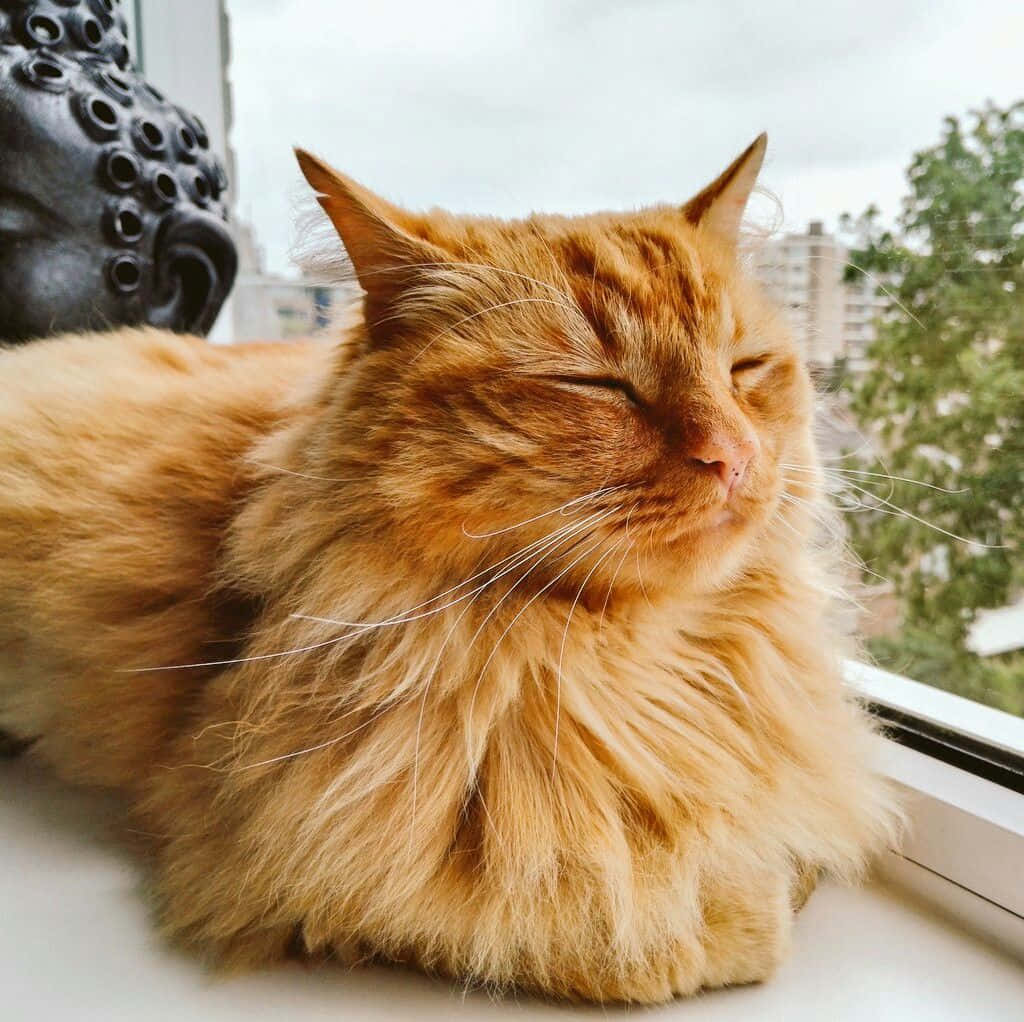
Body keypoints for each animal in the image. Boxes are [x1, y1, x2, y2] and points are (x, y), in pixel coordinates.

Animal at [0, 134, 897, 999]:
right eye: (598, 385)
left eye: (745, 370)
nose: (734, 458)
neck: (647, 662)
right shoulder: (285, 849)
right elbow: (609, 929)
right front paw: (747, 908)